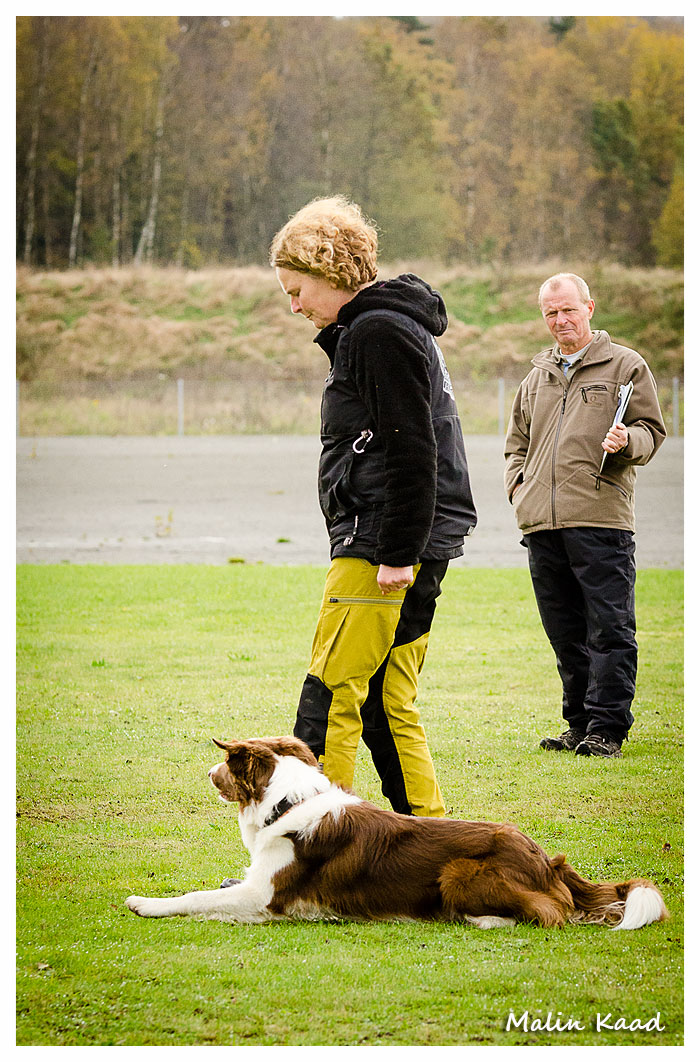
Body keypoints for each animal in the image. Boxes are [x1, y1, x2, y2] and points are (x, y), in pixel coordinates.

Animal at [125, 735, 668, 930]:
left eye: (224, 763)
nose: (206, 772)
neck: (286, 803)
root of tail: (546, 858)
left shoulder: (266, 896)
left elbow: (196, 897)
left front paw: (146, 904)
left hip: (458, 873)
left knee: (552, 914)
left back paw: (482, 919)